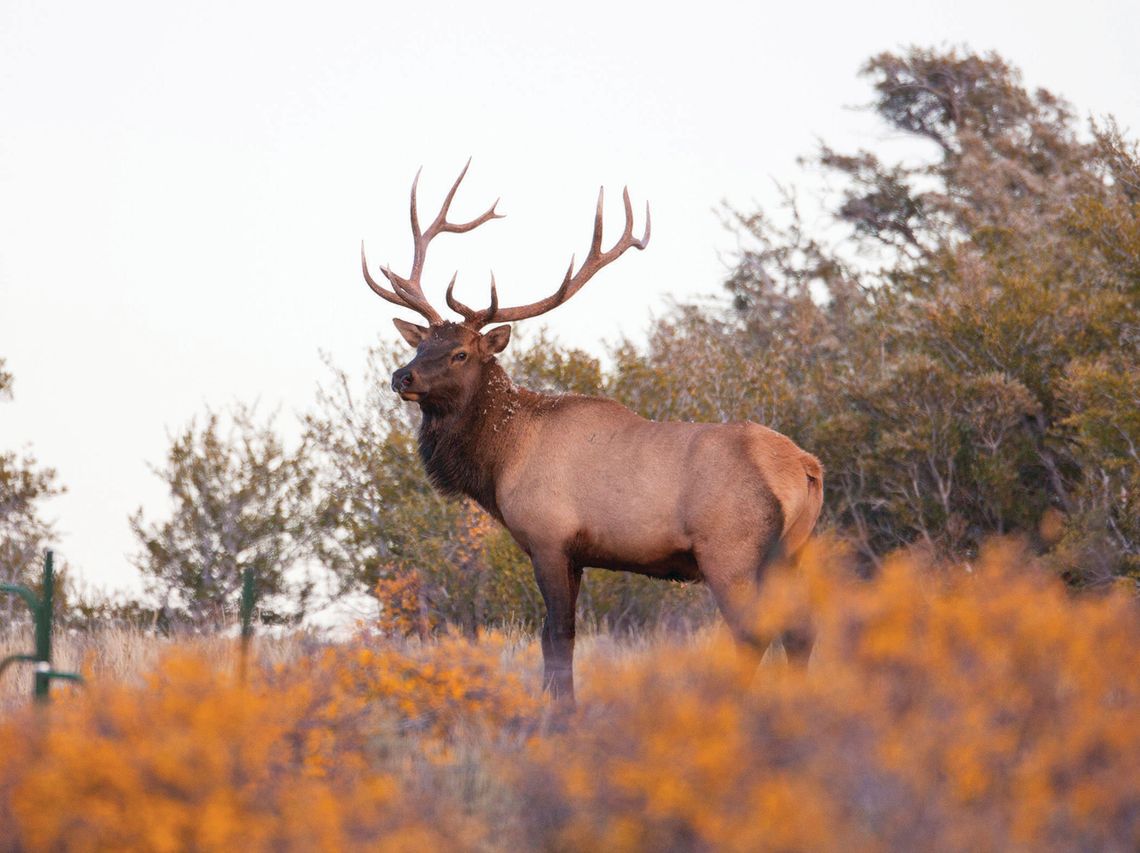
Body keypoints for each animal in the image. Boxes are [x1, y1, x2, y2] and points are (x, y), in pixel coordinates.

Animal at [362, 162, 824, 704]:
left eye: (460, 353)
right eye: (421, 344)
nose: (402, 377)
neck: (501, 461)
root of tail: (806, 468)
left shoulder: (548, 538)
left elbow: (559, 636)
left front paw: (561, 710)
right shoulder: (576, 555)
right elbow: (552, 637)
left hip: (732, 551)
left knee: (753, 633)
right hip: (791, 553)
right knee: (801, 632)